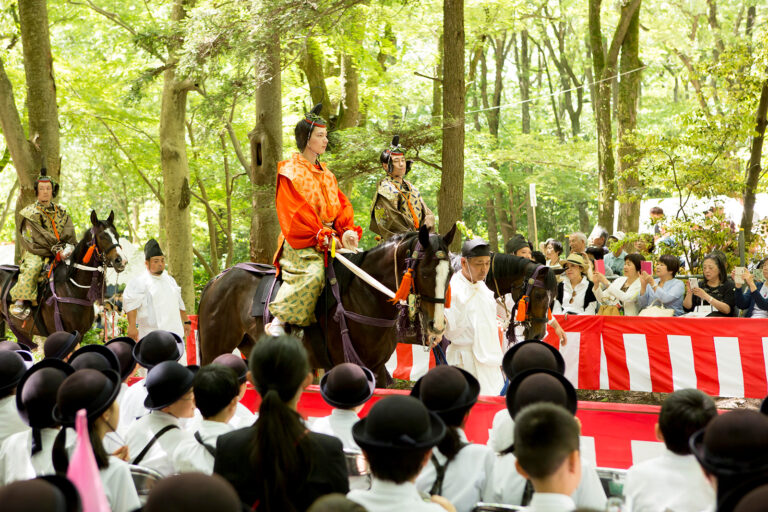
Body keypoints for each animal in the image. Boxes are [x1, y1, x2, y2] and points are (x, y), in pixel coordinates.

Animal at [198, 224, 456, 384]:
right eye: (424, 273)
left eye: (450, 273)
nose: (436, 327)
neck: (366, 295)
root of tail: (217, 280)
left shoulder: (377, 368)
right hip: (214, 348)